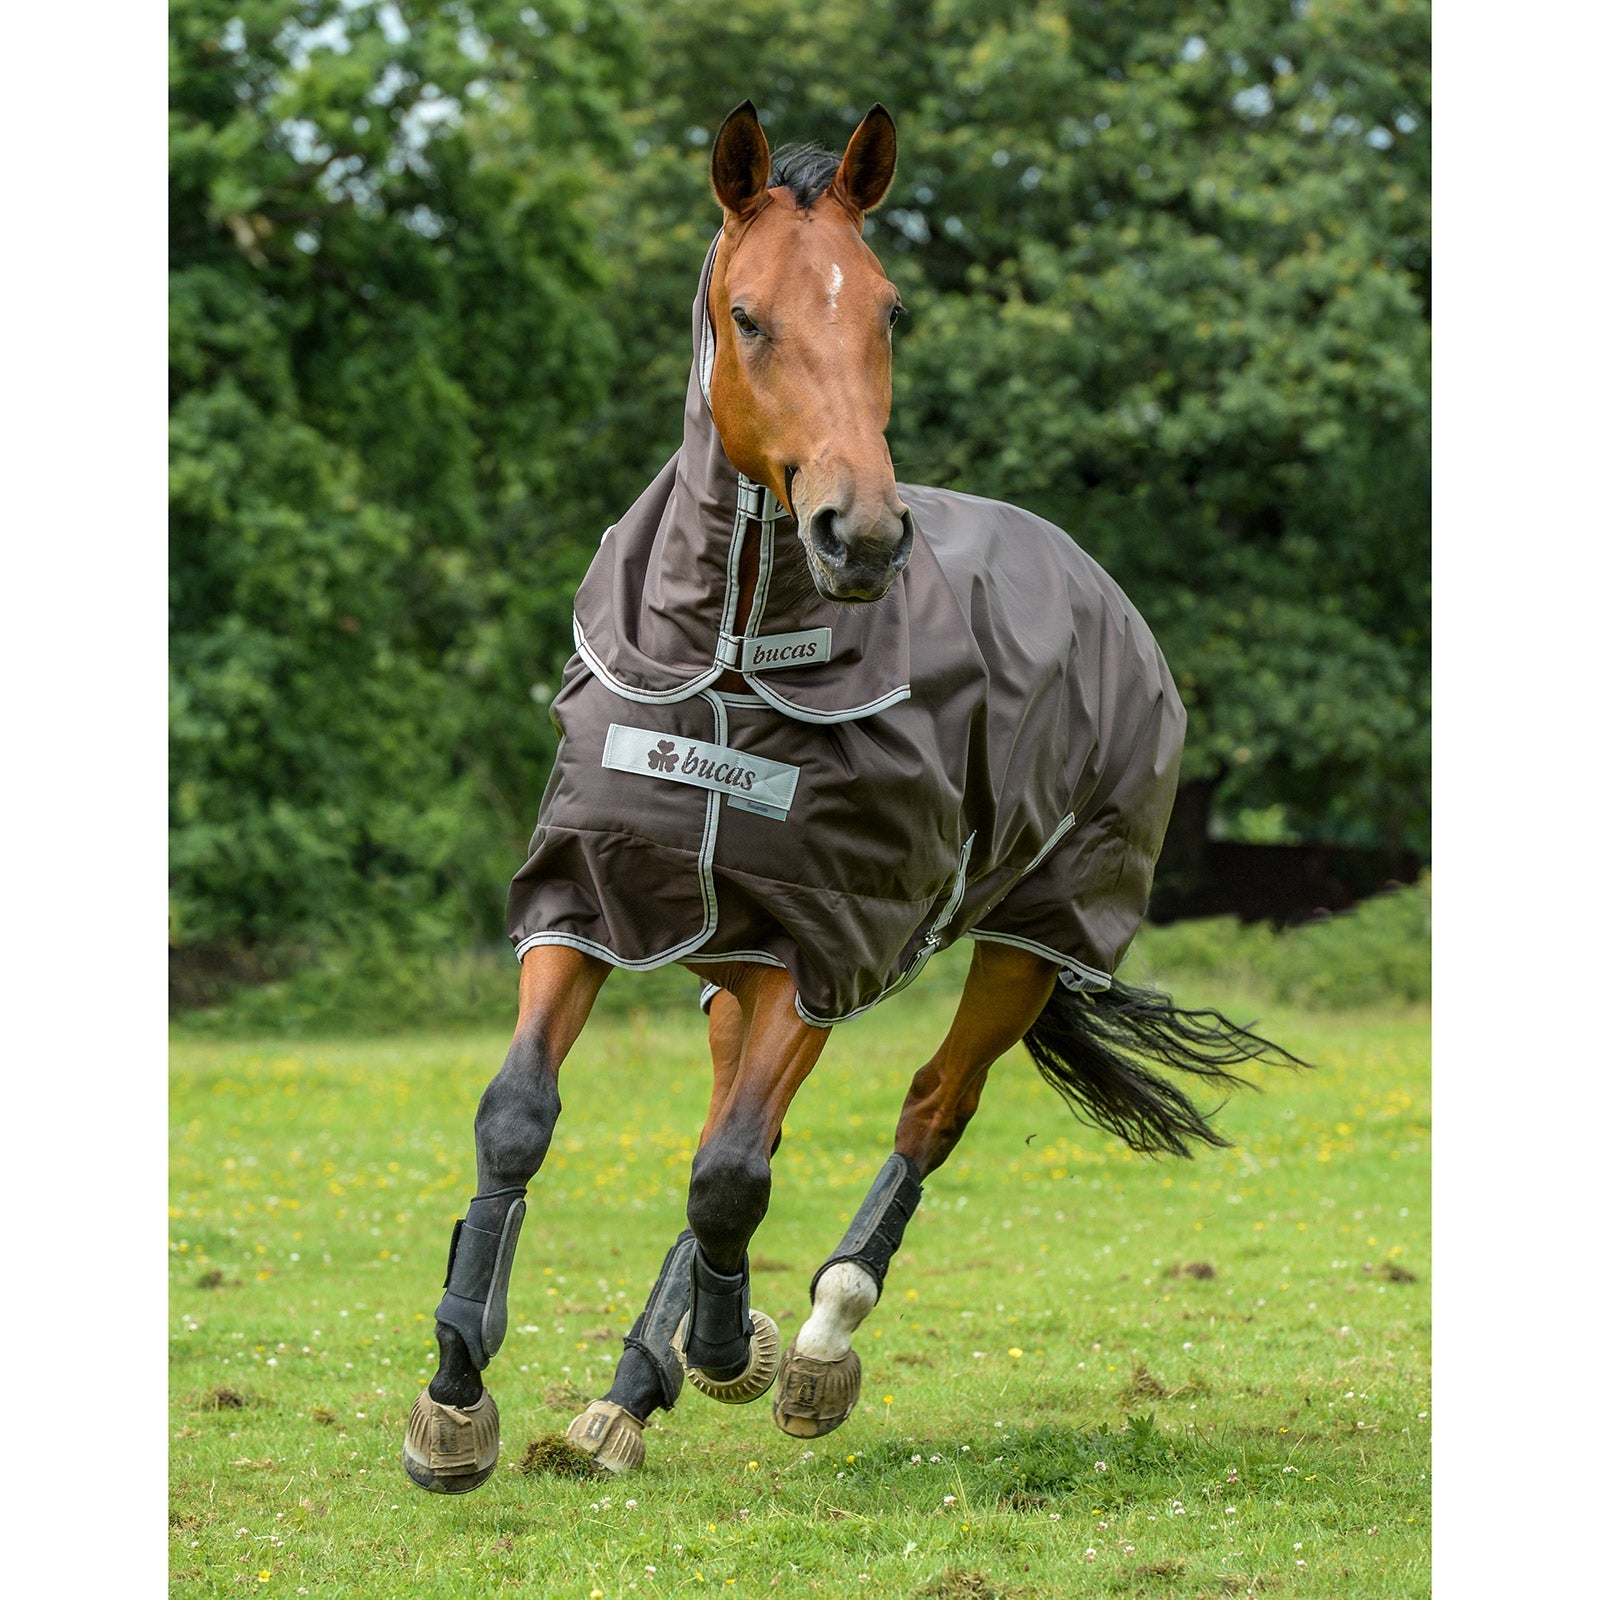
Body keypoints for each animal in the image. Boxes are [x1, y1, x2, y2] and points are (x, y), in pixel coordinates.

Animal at [402, 101, 1300, 1489]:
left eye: (888, 310)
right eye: (749, 314)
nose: (862, 532)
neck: (732, 654)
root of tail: (1095, 583)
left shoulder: (822, 949)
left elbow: (727, 1177)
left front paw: (739, 1351)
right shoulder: (587, 907)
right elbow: (519, 1118)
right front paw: (455, 1394)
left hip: (1028, 938)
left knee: (923, 1109)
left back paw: (813, 1341)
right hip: (745, 969)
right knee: (740, 1118)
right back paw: (628, 1393)